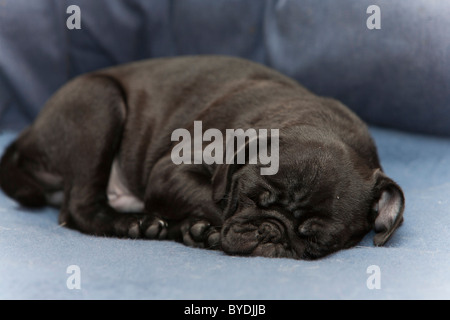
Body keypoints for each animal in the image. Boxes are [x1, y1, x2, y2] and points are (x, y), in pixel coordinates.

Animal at [0, 55, 404, 260]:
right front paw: (210, 226)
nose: (272, 232)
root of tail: (29, 132)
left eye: (319, 240)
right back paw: (134, 225)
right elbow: (216, 204)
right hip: (99, 103)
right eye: (251, 197)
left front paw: (198, 231)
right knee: (80, 207)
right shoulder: (169, 172)